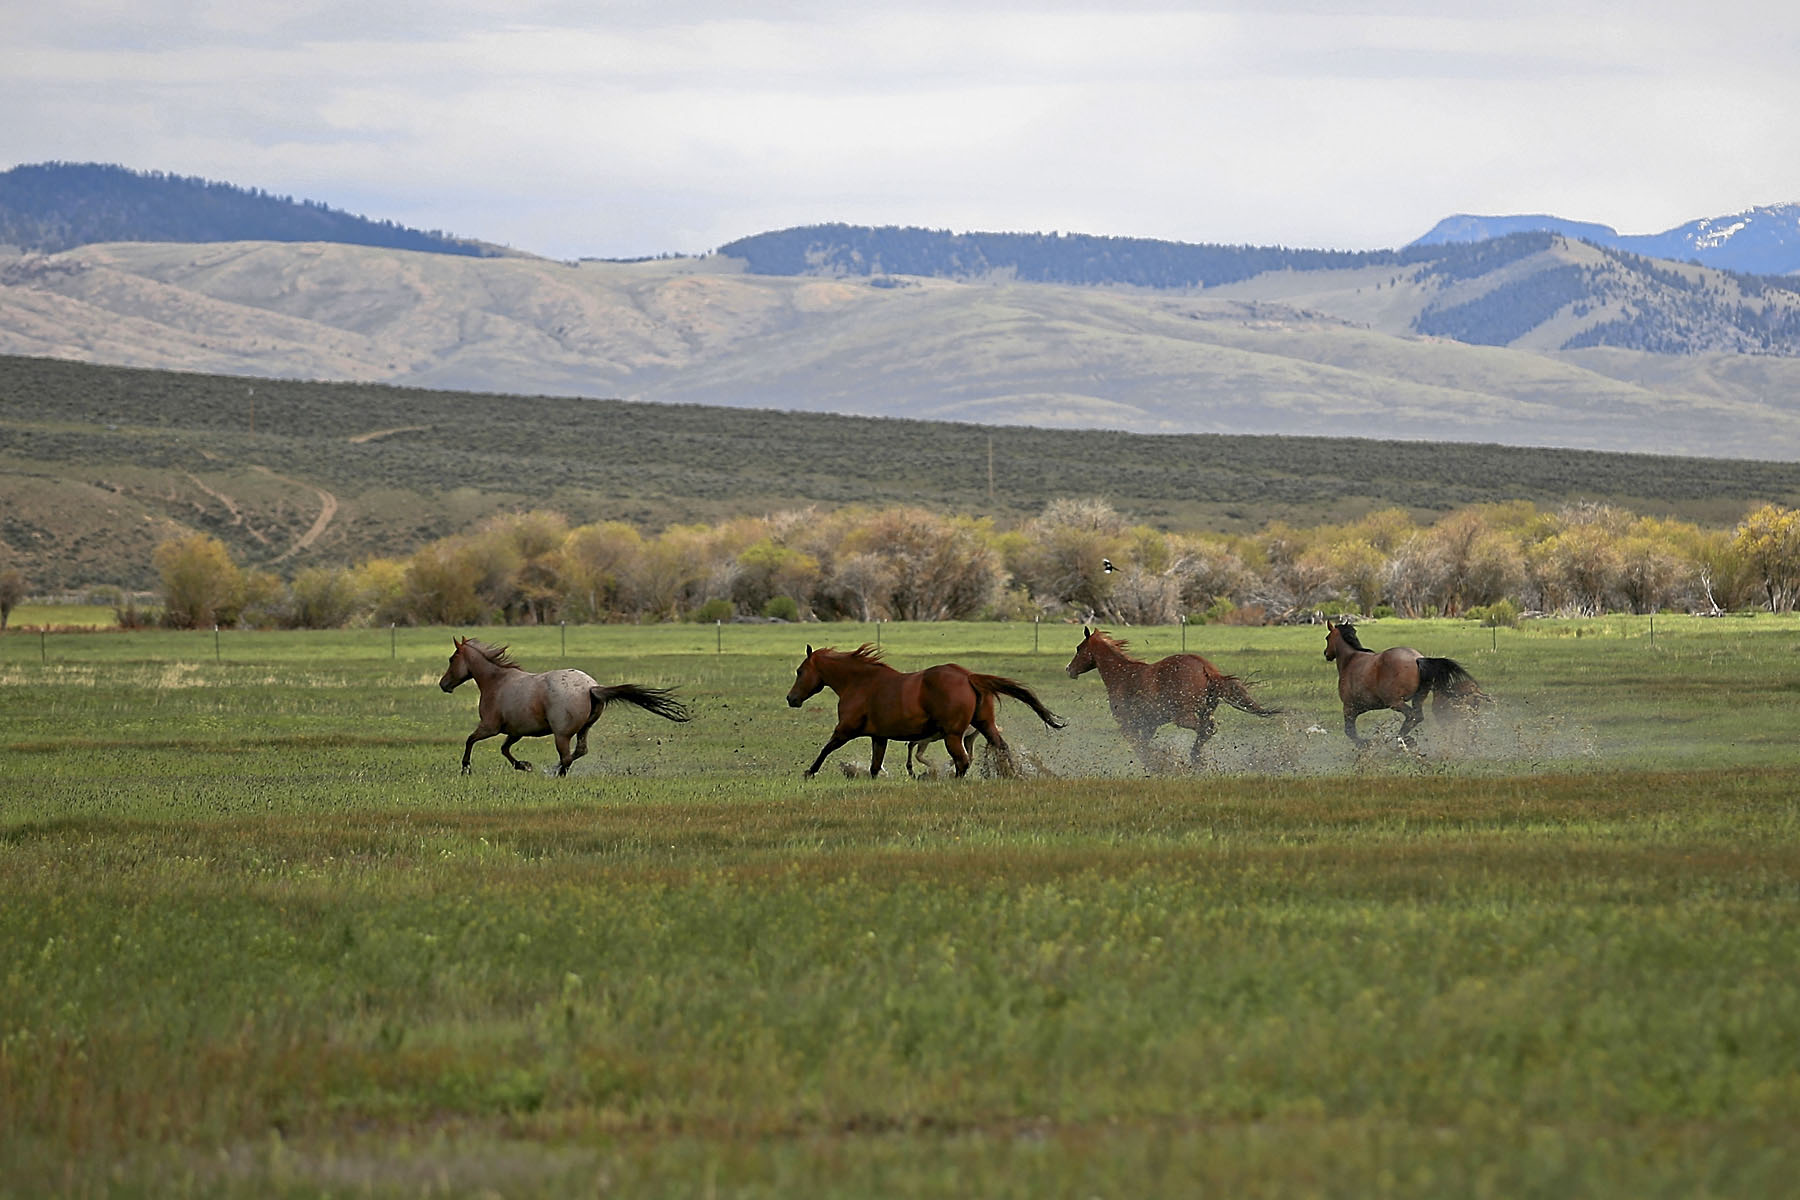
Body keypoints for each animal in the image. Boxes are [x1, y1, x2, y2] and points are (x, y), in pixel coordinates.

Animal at [438, 637, 691, 775]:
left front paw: (465, 768)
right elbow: (504, 749)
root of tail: (591, 687)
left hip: (561, 734)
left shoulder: (490, 727)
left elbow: (470, 740)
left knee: (567, 757)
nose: (443, 684)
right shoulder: (516, 731)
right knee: (579, 751)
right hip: (583, 729)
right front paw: (524, 765)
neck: (497, 681)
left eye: (452, 659)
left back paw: (554, 772)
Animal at [786, 644, 1065, 779]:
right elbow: (875, 767)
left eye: (800, 671)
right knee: (999, 747)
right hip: (985, 725)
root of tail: (969, 676)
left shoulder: (845, 730)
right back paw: (1012, 775)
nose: (791, 699)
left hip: (953, 735)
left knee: (962, 761)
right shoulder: (879, 737)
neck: (859, 682)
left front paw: (809, 772)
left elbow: (826, 749)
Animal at [1065, 626, 1278, 766]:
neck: (1122, 675)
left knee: (1205, 730)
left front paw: (1159, 762)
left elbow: (1139, 747)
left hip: (1183, 717)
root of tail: (1206, 669)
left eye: (1078, 648)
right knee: (1207, 730)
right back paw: (1196, 760)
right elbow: (1143, 744)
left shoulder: (1127, 724)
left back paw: (1194, 760)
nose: (1069, 669)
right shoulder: (1149, 725)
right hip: (1204, 712)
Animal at [1323, 621, 1485, 749]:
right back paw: (1404, 740)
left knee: (1412, 716)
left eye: (1327, 638)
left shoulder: (1349, 708)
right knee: (1417, 717)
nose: (1326, 654)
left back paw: (1401, 740)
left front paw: (1365, 744)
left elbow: (1349, 731)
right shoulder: (1357, 709)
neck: (1351, 660)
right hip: (1417, 699)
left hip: (1395, 702)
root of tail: (1417, 659)